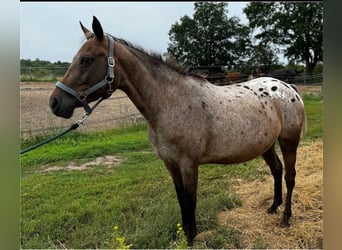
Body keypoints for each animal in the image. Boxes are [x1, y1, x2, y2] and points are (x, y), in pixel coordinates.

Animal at [48, 17, 308, 246]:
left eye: (86, 60)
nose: (55, 103)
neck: (172, 103)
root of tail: (288, 87)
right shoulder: (171, 164)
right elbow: (182, 199)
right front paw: (185, 235)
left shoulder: (188, 164)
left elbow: (191, 201)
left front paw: (191, 237)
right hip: (266, 144)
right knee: (276, 170)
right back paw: (273, 207)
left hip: (288, 141)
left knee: (289, 176)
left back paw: (285, 218)